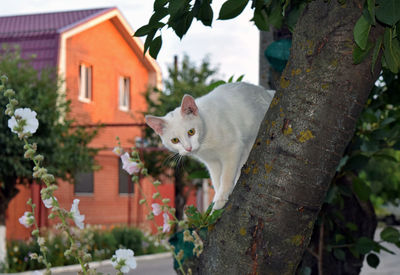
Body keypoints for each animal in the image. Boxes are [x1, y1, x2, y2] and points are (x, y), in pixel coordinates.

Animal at [146, 83, 276, 210]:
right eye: (175, 140)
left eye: (191, 132)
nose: (188, 148)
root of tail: (266, 92)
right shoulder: (212, 162)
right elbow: (216, 179)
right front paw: (218, 197)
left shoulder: (233, 148)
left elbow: (226, 175)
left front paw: (221, 198)